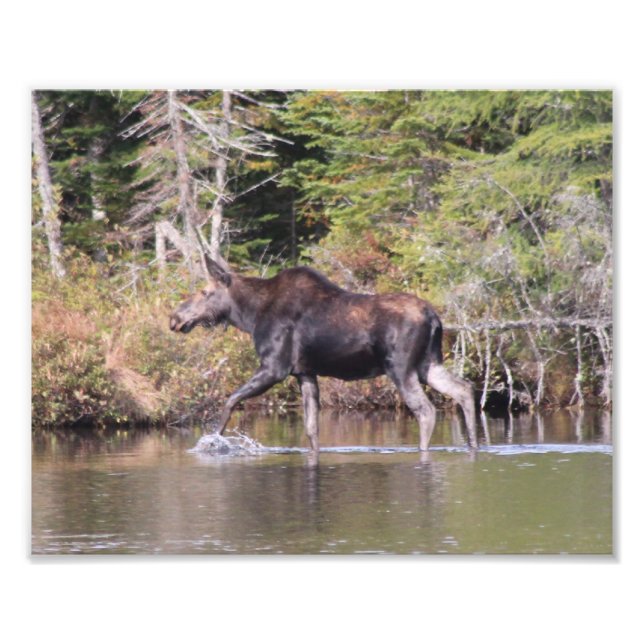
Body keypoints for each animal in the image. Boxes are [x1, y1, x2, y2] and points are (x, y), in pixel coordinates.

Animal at [169, 256, 477, 451]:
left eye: (204, 291)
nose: (175, 318)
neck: (249, 316)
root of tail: (435, 318)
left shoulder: (275, 367)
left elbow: (230, 400)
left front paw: (213, 441)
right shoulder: (305, 372)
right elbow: (311, 428)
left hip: (401, 368)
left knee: (426, 410)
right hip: (428, 364)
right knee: (463, 389)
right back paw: (474, 446)